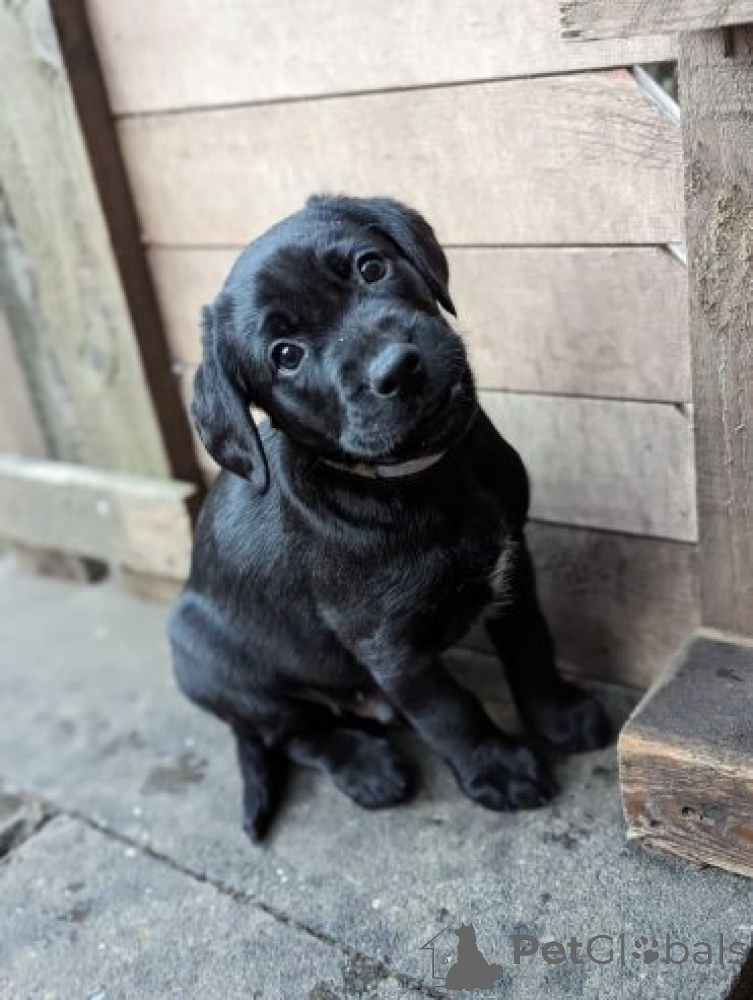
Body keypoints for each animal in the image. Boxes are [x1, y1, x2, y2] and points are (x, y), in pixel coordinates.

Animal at [169, 194, 610, 842]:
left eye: (370, 267)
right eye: (285, 355)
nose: (397, 368)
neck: (423, 477)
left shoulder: (513, 562)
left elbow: (531, 645)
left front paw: (560, 714)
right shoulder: (389, 648)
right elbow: (450, 710)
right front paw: (498, 768)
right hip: (210, 660)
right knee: (295, 732)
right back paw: (364, 766)